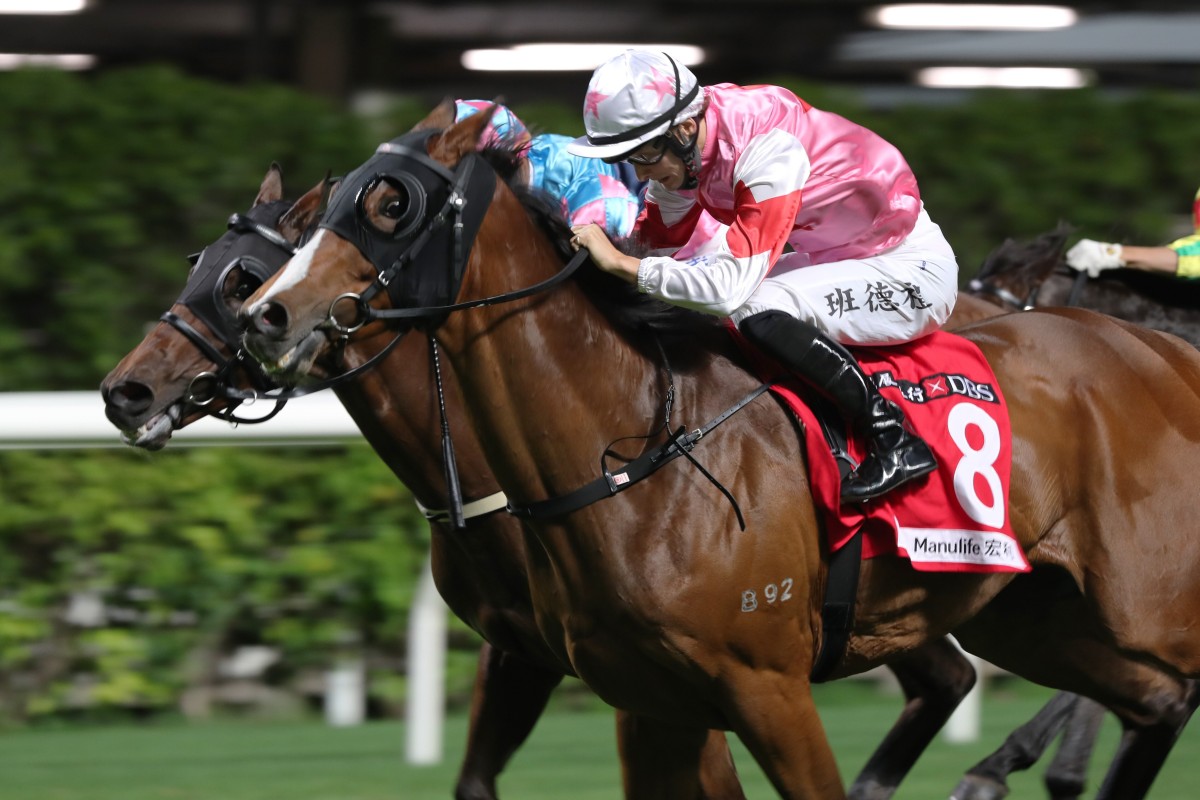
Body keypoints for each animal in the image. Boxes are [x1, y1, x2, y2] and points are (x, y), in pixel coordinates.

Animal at [100, 164, 984, 800]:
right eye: (197, 266)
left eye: (242, 280)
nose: (125, 391)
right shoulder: (522, 647)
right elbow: (477, 780)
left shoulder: (677, 667)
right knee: (951, 677)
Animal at [238, 104, 1200, 796]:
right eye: (330, 207)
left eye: (390, 204)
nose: (266, 315)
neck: (624, 457)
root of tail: (1164, 351)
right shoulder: (648, 701)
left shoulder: (767, 686)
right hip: (1033, 614)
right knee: (1154, 701)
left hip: (1142, 601)